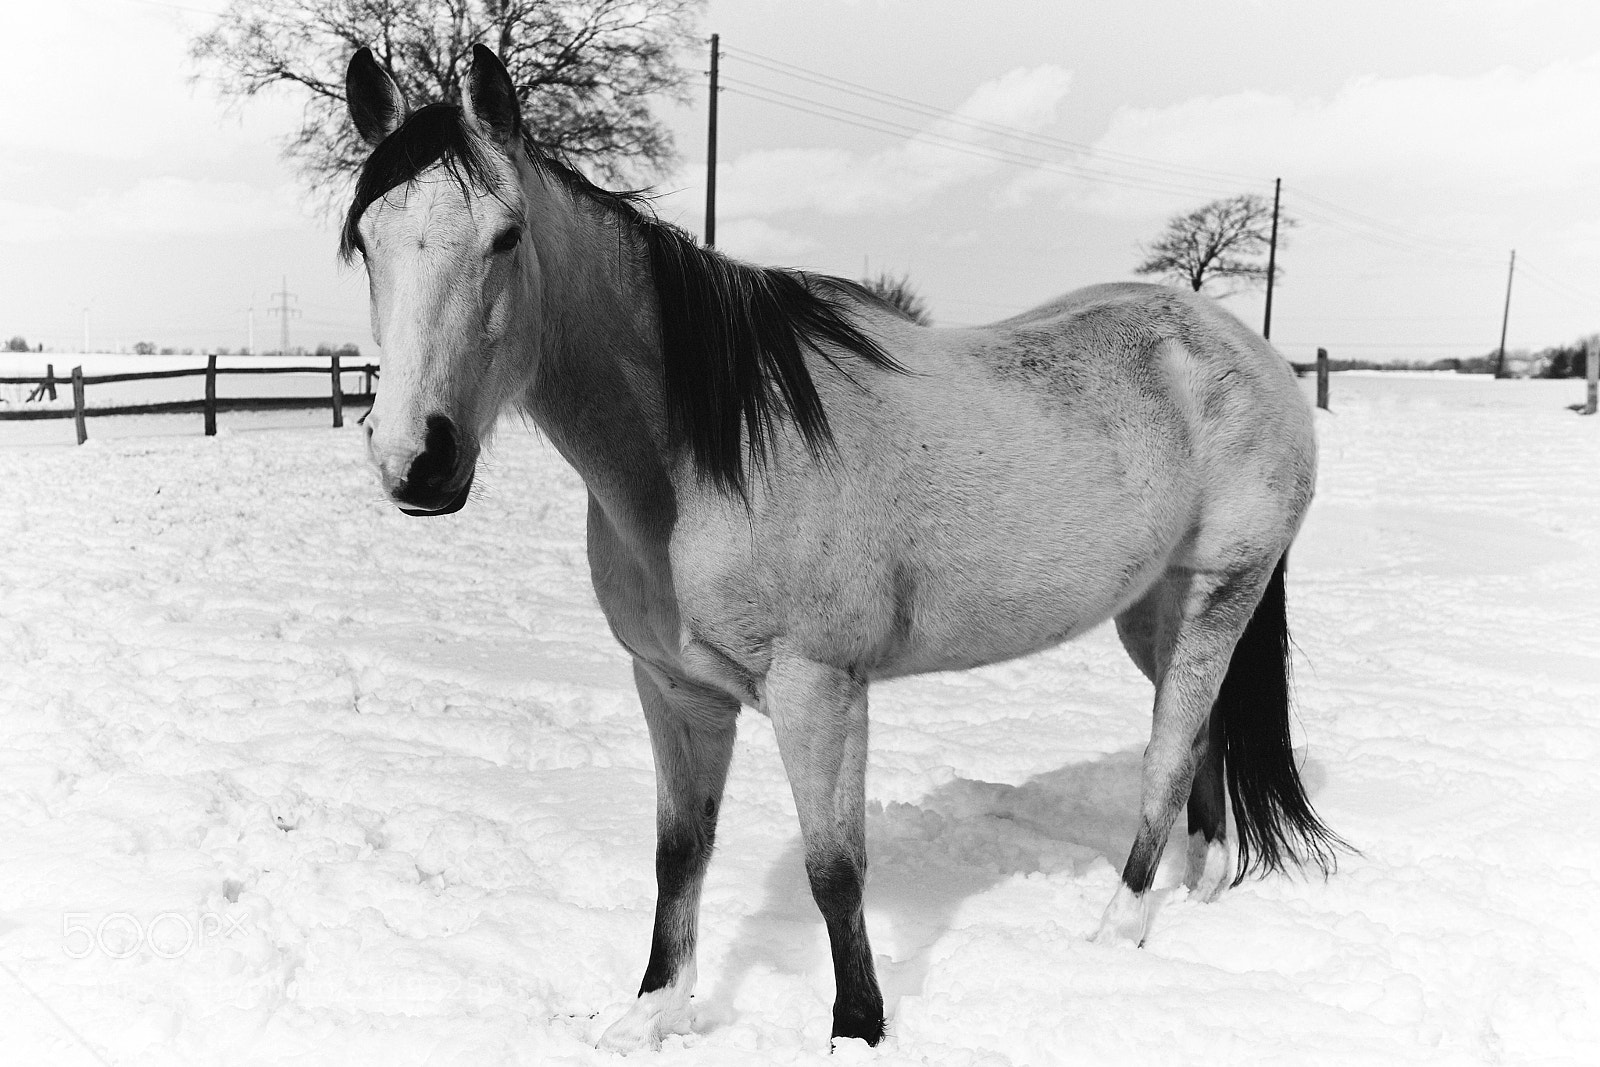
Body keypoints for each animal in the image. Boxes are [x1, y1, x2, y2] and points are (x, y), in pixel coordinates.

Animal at [342, 44, 1345, 1051]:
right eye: (363, 241)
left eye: (506, 237)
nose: (415, 459)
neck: (703, 457)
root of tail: (1245, 349)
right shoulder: (673, 688)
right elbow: (679, 851)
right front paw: (653, 1013)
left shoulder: (817, 687)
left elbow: (835, 869)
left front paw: (857, 1028)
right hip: (1152, 610)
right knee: (1205, 732)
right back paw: (1200, 882)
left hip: (1220, 591)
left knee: (1168, 753)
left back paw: (1118, 928)